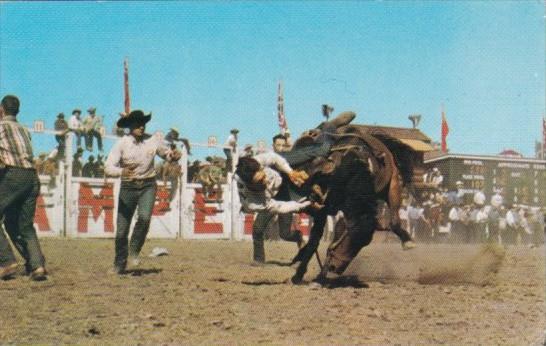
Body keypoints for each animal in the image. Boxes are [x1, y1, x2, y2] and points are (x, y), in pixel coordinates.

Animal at [286, 112, 432, 286]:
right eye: (350, 238)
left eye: (362, 244)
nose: (336, 268)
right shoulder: (323, 209)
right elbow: (313, 241)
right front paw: (299, 273)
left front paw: (317, 276)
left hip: (394, 185)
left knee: (395, 220)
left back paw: (407, 240)